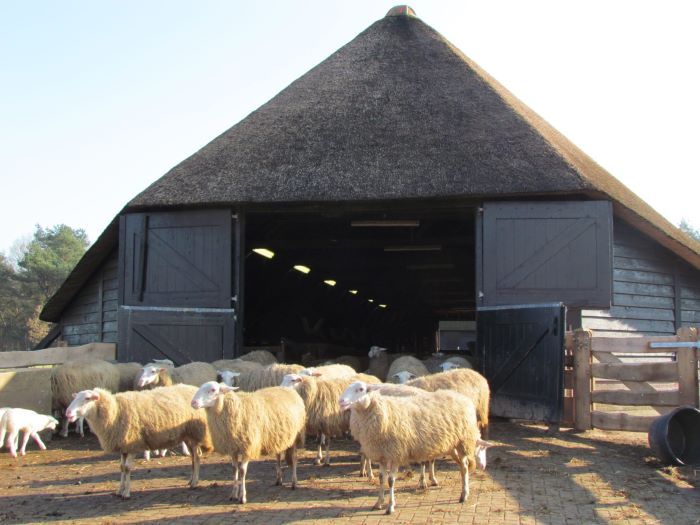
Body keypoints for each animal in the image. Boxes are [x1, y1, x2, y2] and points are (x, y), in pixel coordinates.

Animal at [66, 382, 213, 498]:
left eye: (87, 398)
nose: (68, 413)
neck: (115, 411)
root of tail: (194, 388)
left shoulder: (132, 443)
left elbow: (127, 468)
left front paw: (126, 493)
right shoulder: (123, 446)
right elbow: (121, 467)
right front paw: (119, 490)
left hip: (194, 433)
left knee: (197, 457)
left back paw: (194, 483)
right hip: (187, 435)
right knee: (193, 458)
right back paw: (191, 480)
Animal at [340, 378, 484, 512]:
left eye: (360, 389)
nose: (341, 401)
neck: (384, 412)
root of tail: (462, 397)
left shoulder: (395, 453)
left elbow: (390, 480)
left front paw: (390, 506)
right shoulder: (382, 455)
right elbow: (382, 478)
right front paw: (379, 503)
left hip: (463, 441)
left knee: (464, 467)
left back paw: (464, 495)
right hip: (453, 444)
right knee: (462, 466)